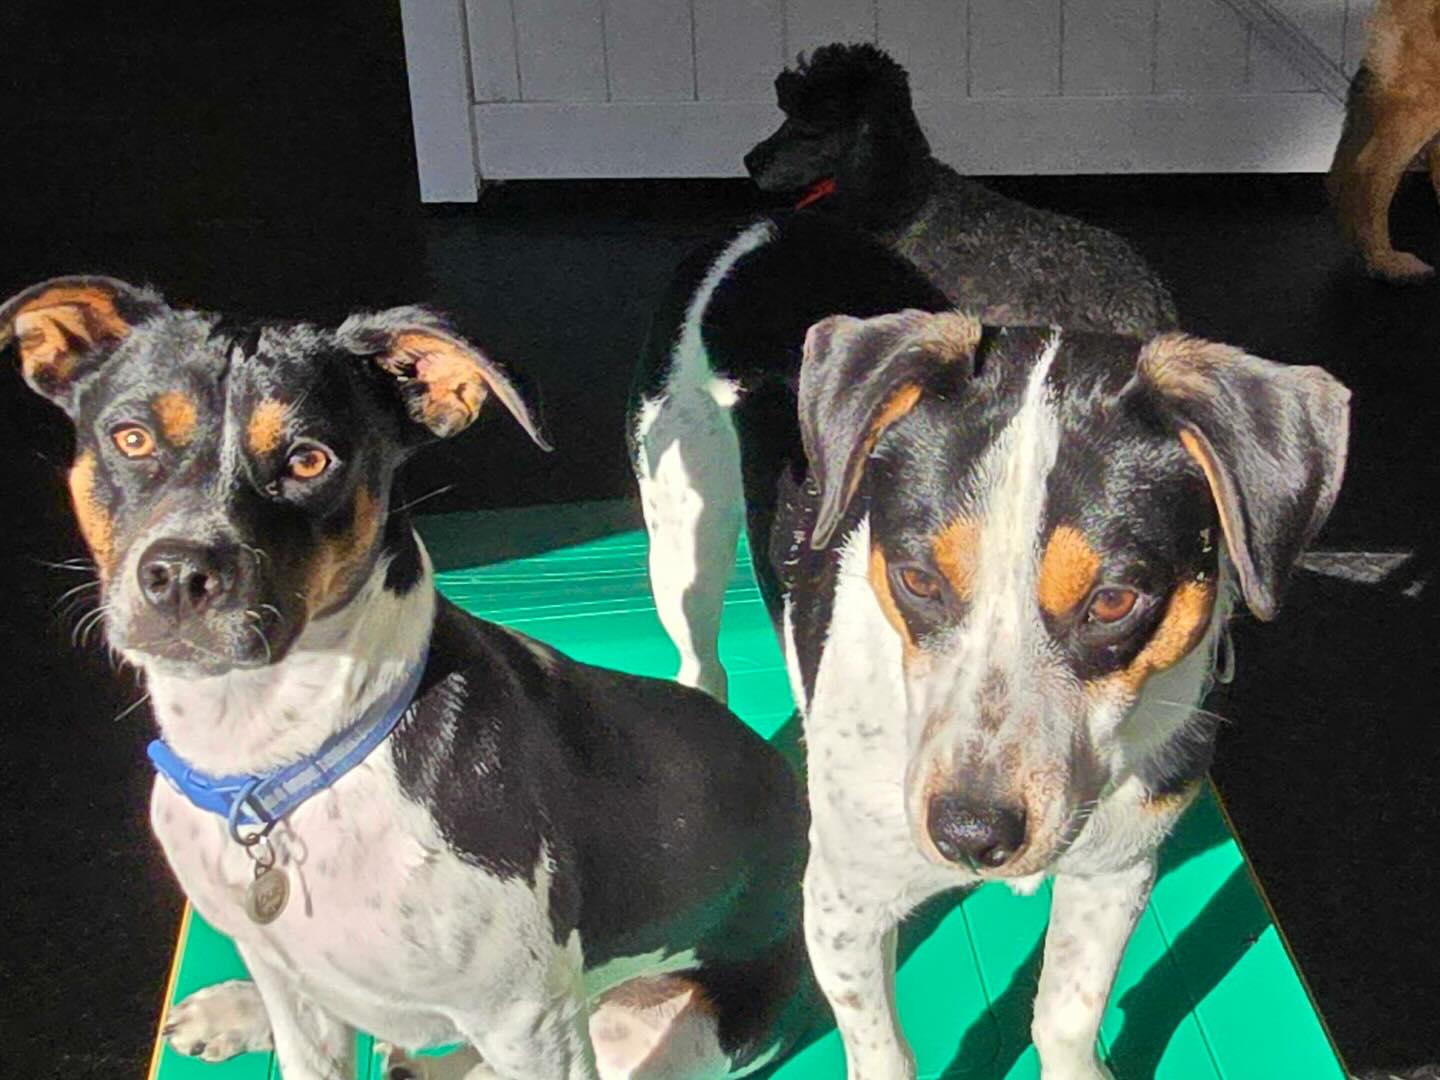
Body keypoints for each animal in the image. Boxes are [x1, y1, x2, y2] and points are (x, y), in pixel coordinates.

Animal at [2, 276, 815, 1080]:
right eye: (130, 437)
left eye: (310, 460)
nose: (178, 575)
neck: (281, 760)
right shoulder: (289, 979)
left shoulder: (530, 1022)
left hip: (635, 1031)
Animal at [630, 216, 1350, 1078]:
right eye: (916, 578)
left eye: (1114, 601)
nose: (971, 834)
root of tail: (773, 225)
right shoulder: (842, 904)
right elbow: (883, 1052)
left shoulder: (1115, 874)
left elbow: (1066, 1016)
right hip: (684, 531)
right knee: (699, 661)